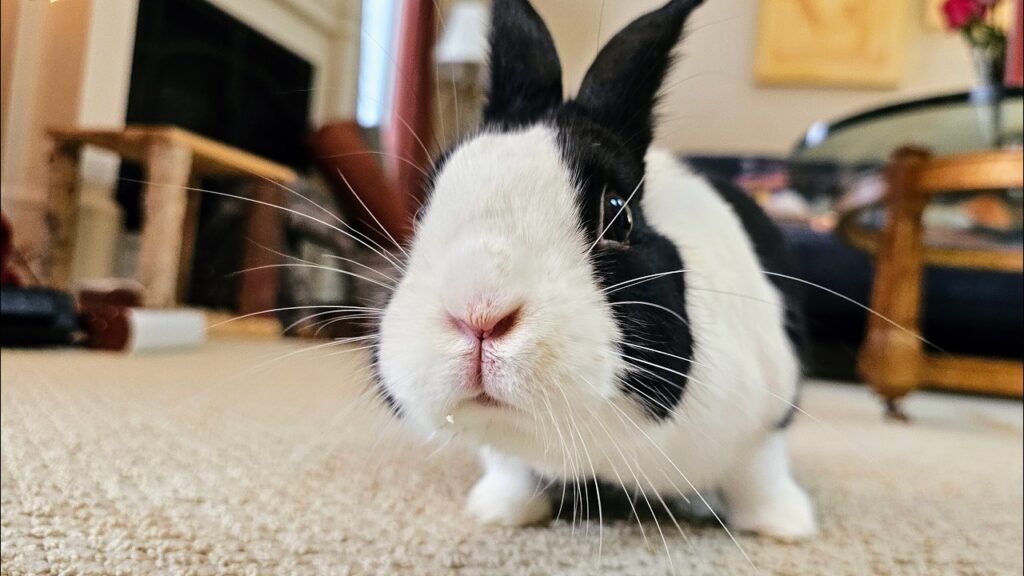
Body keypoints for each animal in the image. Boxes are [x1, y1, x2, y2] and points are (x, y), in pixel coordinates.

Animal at [375, 0, 816, 541]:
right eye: (424, 208)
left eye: (618, 214)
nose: (478, 315)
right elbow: (510, 467)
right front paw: (499, 510)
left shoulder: (766, 418)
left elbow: (760, 472)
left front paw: (786, 525)